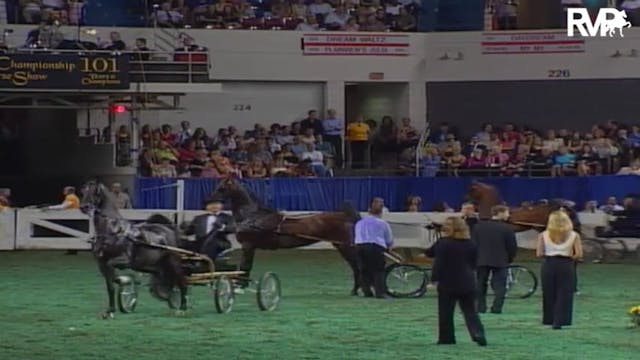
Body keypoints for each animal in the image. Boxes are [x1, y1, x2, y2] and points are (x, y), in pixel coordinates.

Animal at [79, 181, 188, 316]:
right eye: (83, 192)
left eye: (95, 192)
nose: (84, 207)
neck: (112, 232)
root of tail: (169, 229)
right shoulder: (101, 263)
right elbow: (110, 285)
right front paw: (110, 310)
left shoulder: (125, 261)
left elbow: (116, 276)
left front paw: (125, 282)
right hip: (155, 265)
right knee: (167, 280)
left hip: (173, 262)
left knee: (181, 281)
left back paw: (182, 307)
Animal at [211, 176, 364, 296]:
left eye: (221, 188)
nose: (209, 201)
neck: (253, 217)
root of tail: (345, 216)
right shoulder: (250, 247)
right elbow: (245, 266)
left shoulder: (248, 246)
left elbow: (245, 266)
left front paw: (239, 287)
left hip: (345, 247)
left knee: (356, 267)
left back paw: (355, 290)